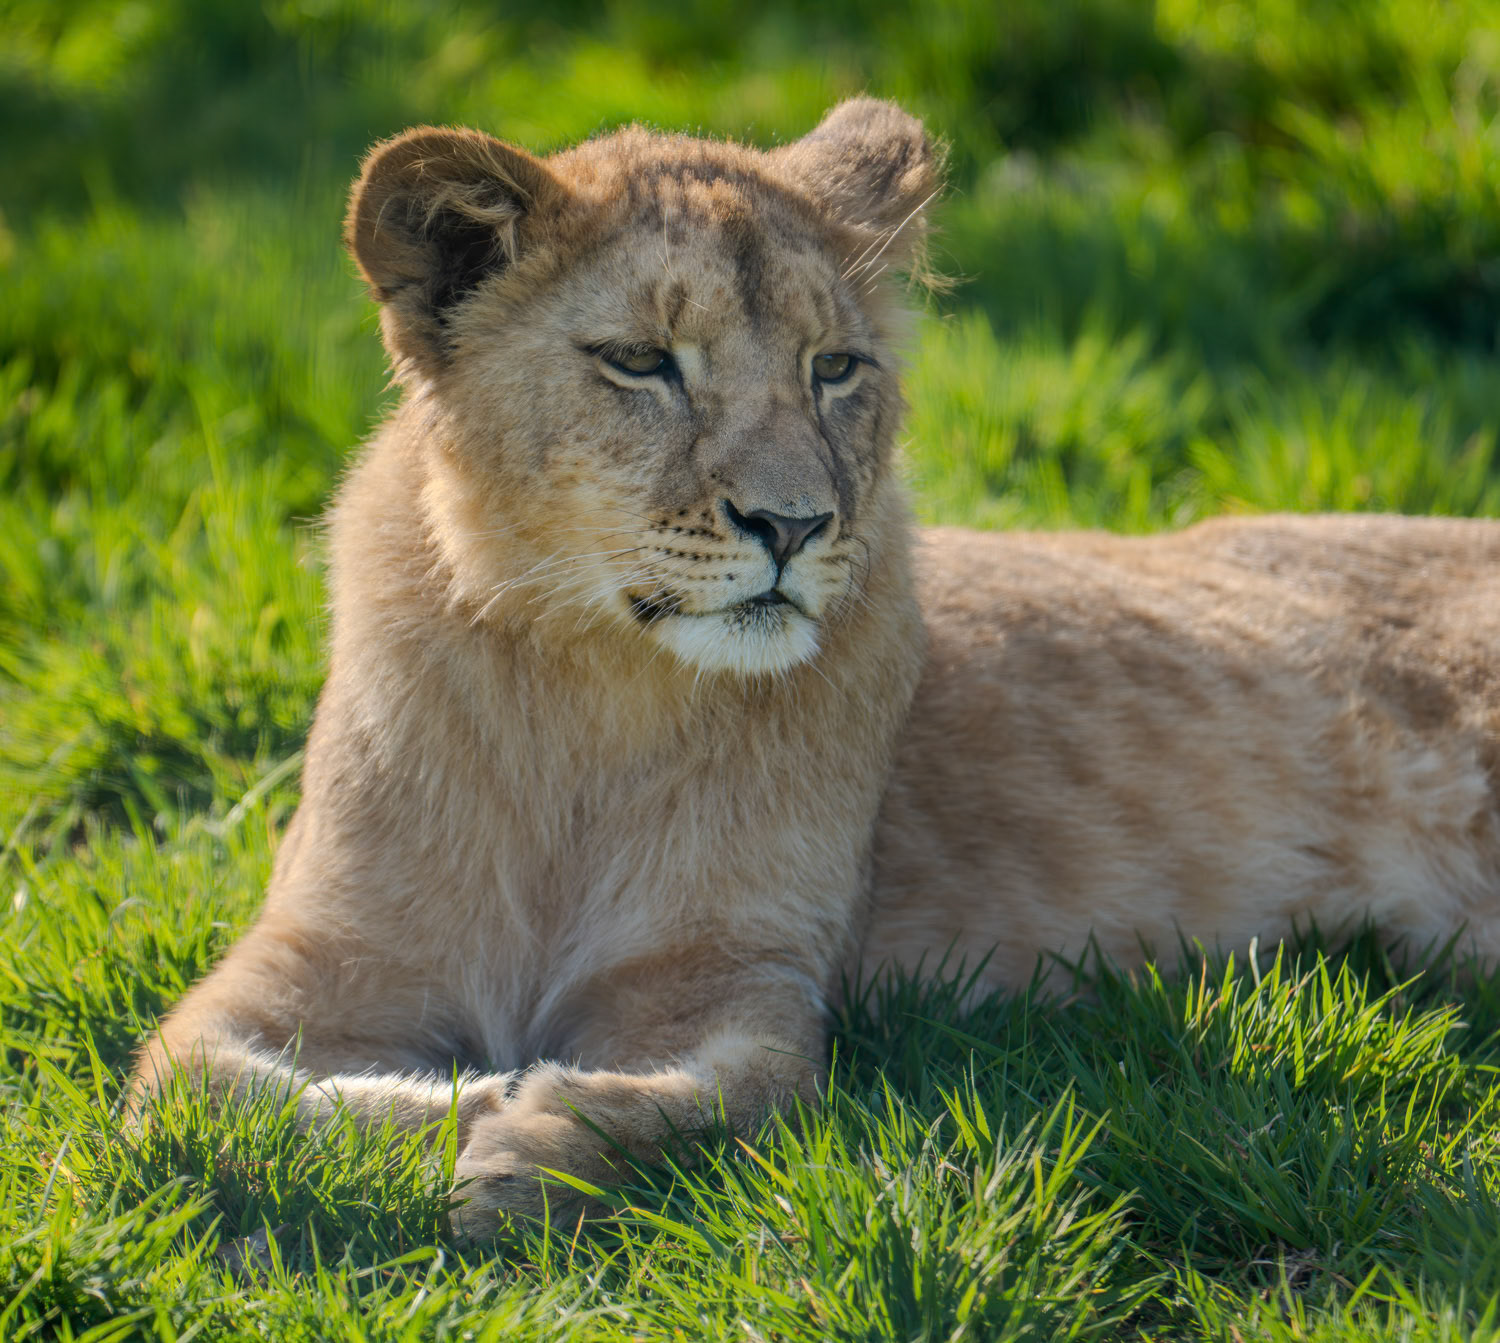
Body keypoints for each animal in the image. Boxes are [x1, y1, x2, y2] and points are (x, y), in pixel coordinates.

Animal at [132, 99, 1500, 1236]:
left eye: (834, 367)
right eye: (643, 361)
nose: (791, 524)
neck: (591, 688)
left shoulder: (740, 975)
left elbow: (730, 1096)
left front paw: (531, 1138)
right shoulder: (313, 953)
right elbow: (182, 1091)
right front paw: (473, 1099)